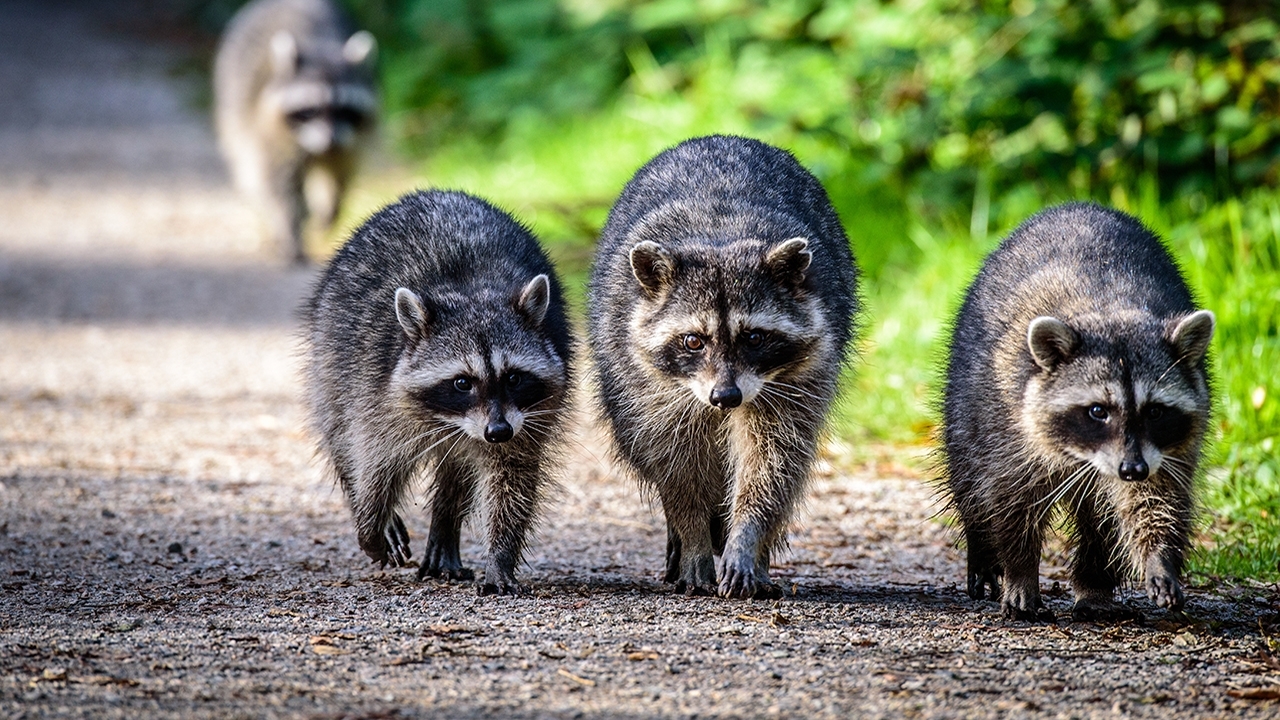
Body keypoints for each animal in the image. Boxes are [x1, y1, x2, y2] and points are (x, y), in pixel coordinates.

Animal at [212, 0, 373, 263]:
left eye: (343, 109)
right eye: (310, 110)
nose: (330, 140)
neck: (321, 44)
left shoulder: (351, 138)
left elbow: (339, 171)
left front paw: (331, 206)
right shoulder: (270, 131)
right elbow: (280, 184)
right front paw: (289, 228)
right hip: (232, 102)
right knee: (251, 168)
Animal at [302, 190, 573, 594]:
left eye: (513, 378)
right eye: (462, 382)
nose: (498, 432)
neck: (471, 292)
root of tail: (439, 192)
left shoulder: (529, 416)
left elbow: (511, 479)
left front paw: (500, 555)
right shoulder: (373, 387)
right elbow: (374, 460)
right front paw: (371, 523)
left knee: (457, 473)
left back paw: (445, 527)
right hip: (330, 353)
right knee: (338, 430)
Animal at [588, 134, 860, 599]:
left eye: (754, 338)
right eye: (692, 341)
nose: (726, 397)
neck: (720, 238)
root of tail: (718, 137)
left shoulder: (797, 379)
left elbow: (773, 460)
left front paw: (747, 537)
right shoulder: (650, 389)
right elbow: (676, 466)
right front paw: (694, 537)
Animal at [947, 199, 1213, 617]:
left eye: (1155, 411)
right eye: (1097, 411)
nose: (1132, 469)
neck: (1110, 309)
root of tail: (1074, 205)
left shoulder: (1167, 448)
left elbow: (1156, 497)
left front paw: (1159, 557)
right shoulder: (1008, 421)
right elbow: (1010, 496)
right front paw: (1020, 570)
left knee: (1101, 521)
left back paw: (1094, 585)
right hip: (968, 396)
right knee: (970, 475)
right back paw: (983, 548)